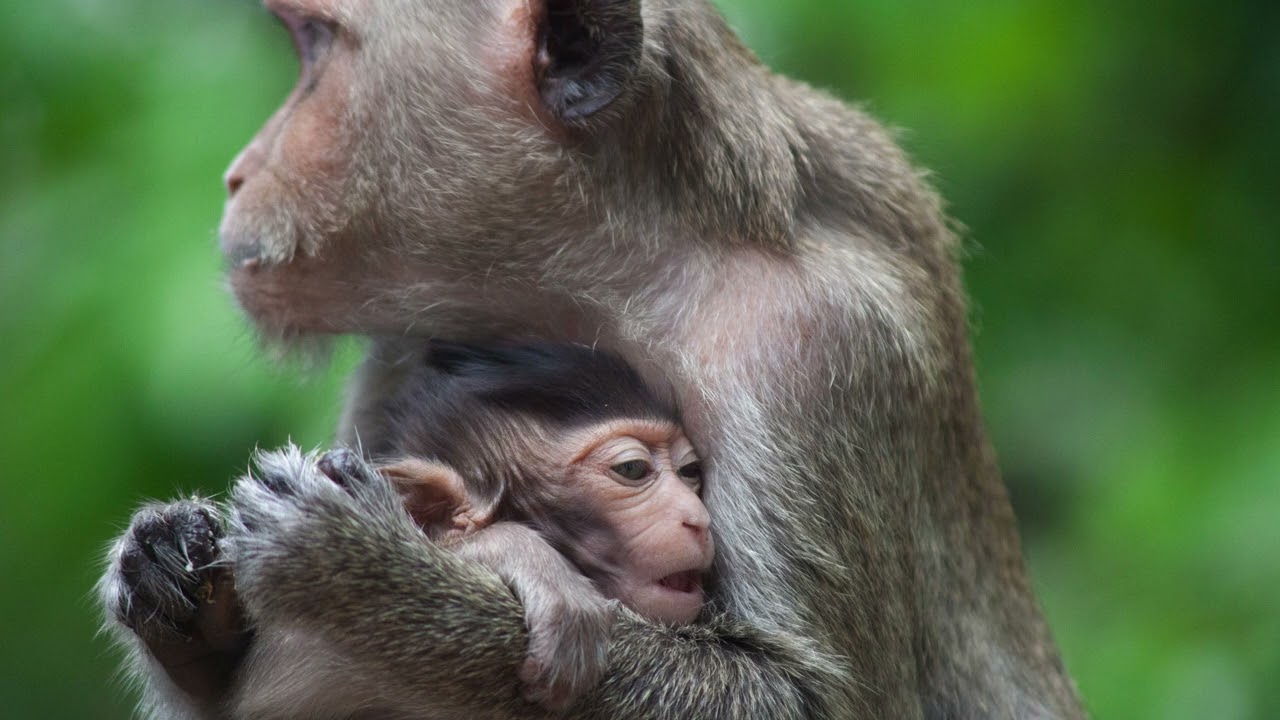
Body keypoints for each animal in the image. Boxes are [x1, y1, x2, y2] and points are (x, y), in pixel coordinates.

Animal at [101, 0, 1085, 718]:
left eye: (316, 47)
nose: (239, 172)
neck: (628, 264)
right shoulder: (405, 347)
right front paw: (165, 564)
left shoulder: (813, 349)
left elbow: (799, 694)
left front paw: (362, 575)